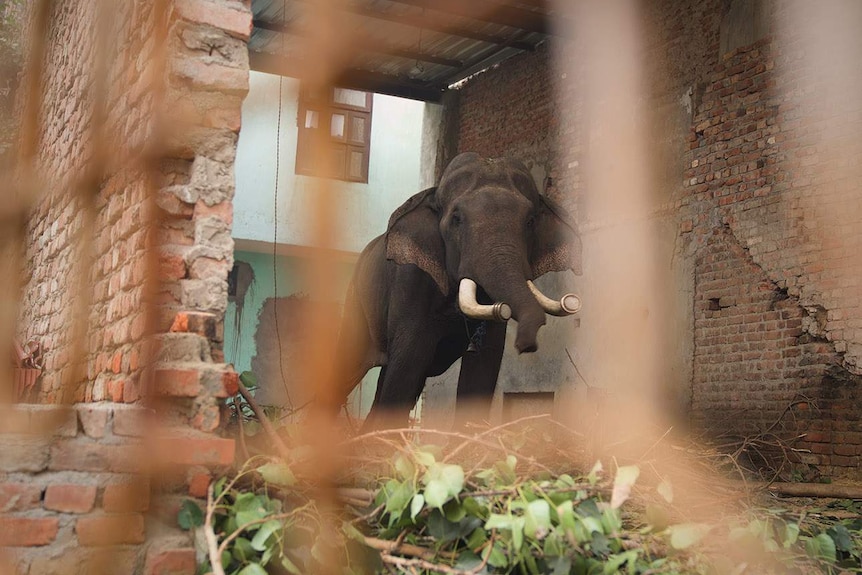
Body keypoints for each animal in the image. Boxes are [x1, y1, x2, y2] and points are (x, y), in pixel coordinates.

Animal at [328, 151, 584, 430]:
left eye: (530, 221)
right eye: (457, 219)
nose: (526, 347)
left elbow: (483, 368)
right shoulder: (411, 281)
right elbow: (408, 363)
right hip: (355, 301)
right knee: (346, 373)